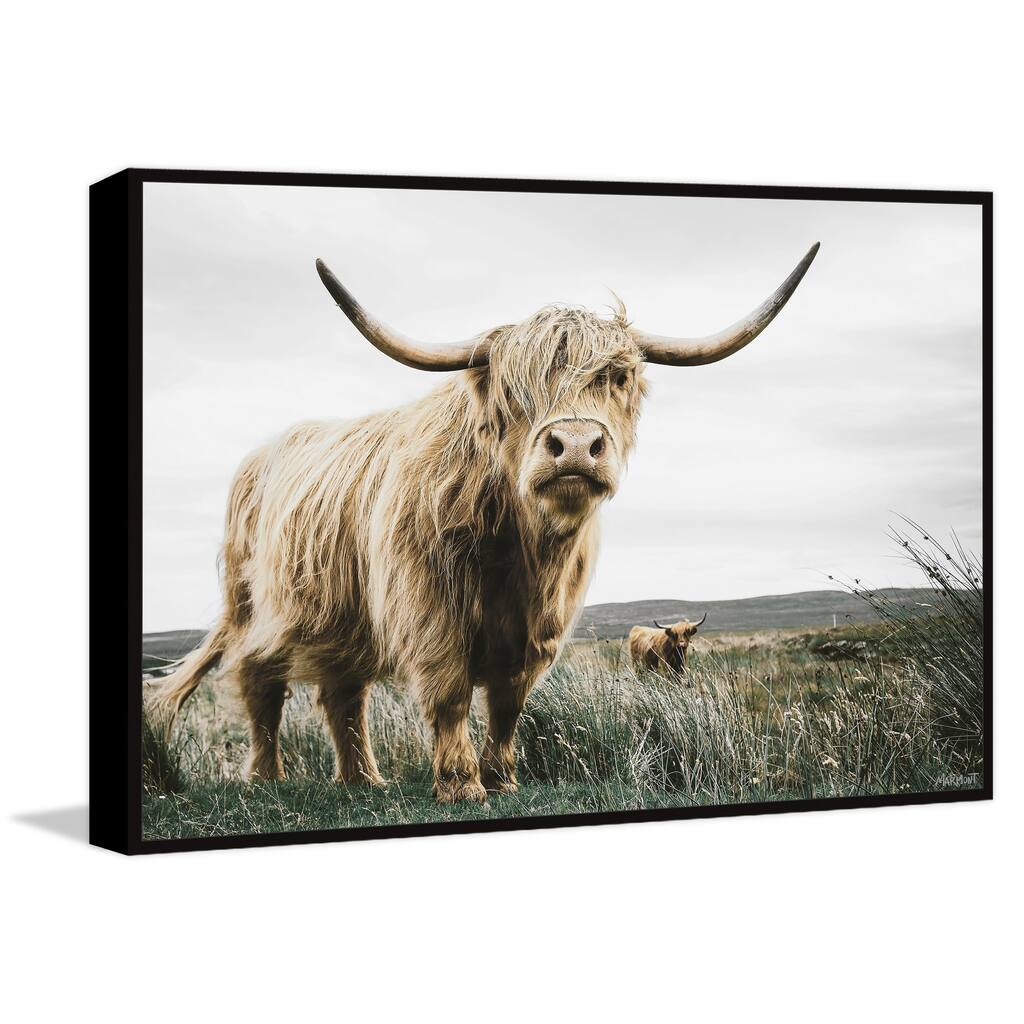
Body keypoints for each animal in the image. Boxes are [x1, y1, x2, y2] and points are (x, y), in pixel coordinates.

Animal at [153, 243, 818, 803]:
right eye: (512, 388)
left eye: (619, 377)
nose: (575, 446)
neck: (521, 550)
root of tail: (263, 453)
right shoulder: (430, 610)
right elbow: (449, 694)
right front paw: (462, 785)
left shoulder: (538, 629)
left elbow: (507, 703)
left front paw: (503, 779)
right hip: (254, 608)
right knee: (259, 680)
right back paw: (268, 777)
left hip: (345, 617)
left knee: (343, 692)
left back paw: (364, 780)